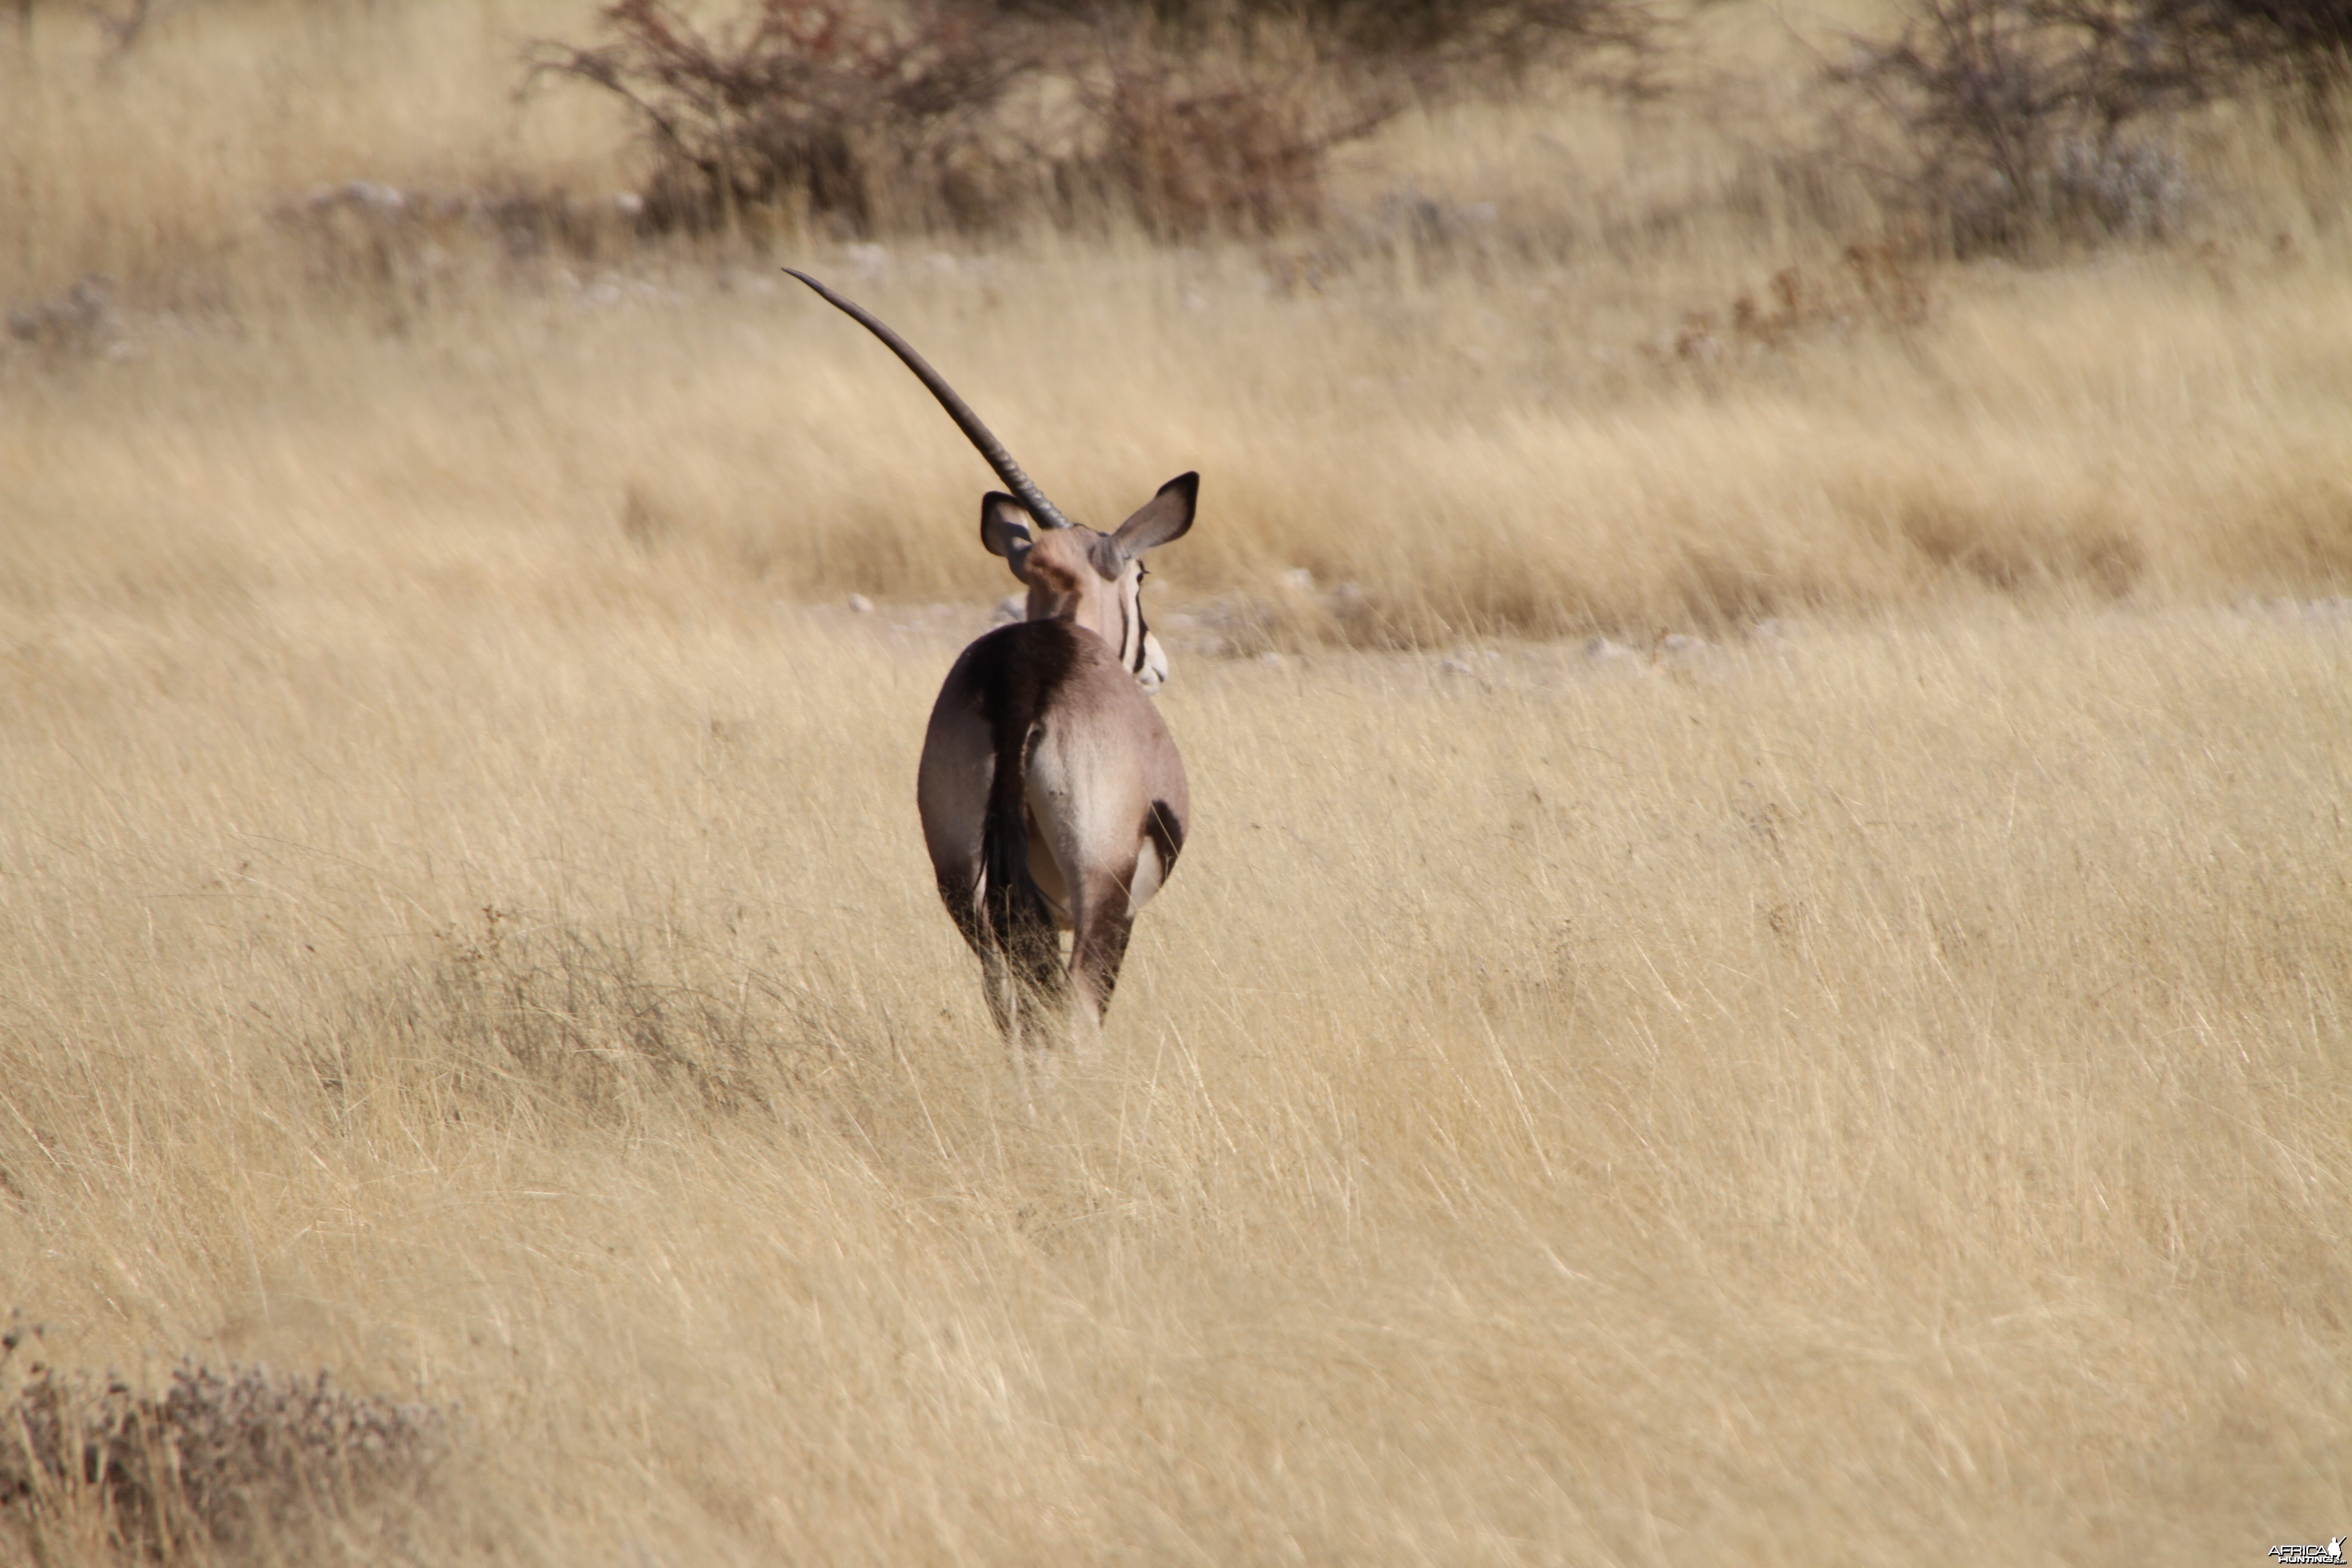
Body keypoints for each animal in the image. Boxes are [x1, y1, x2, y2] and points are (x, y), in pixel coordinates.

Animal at [785, 270, 1195, 1062]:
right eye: (1142, 578)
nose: (1156, 666)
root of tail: (1024, 685)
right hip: (1099, 895)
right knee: (1073, 1015)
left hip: (964, 888)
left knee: (1011, 1009)